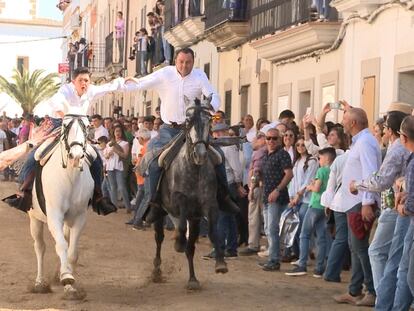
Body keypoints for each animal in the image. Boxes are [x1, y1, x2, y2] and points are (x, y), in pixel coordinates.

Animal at [28, 116, 94, 302]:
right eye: (65, 125)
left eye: (87, 126)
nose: (76, 156)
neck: (70, 176)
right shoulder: (54, 216)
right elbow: (61, 245)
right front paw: (66, 276)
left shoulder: (79, 217)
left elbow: (72, 252)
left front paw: (69, 283)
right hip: (34, 218)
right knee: (40, 247)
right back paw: (40, 283)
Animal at [152, 97, 228, 290]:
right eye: (188, 121)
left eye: (209, 121)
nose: (200, 154)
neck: (194, 170)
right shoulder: (179, 202)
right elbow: (179, 227)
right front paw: (178, 243)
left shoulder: (209, 205)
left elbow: (213, 231)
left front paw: (220, 263)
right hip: (159, 211)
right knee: (159, 238)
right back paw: (156, 270)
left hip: (194, 220)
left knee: (191, 248)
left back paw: (192, 279)